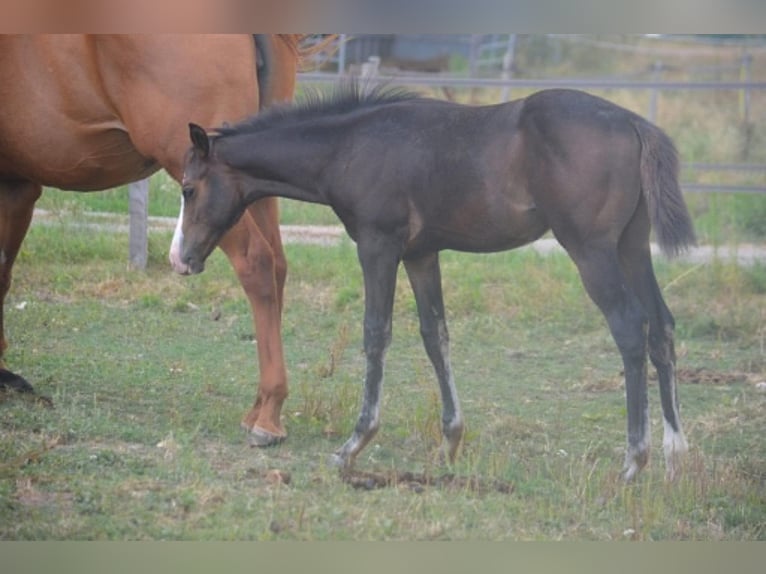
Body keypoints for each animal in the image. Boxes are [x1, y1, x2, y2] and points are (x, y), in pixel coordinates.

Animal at [0, 34, 306, 446]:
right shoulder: (18, 186)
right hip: (253, 184)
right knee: (278, 266)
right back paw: (259, 407)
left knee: (257, 262)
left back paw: (269, 413)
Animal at [177, 83, 697, 481]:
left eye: (187, 188)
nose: (182, 259)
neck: (348, 147)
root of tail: (635, 124)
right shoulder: (421, 254)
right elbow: (435, 335)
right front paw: (449, 442)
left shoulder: (378, 245)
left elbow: (376, 333)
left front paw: (353, 445)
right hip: (631, 247)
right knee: (663, 325)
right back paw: (675, 454)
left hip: (591, 249)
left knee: (629, 326)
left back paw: (634, 461)